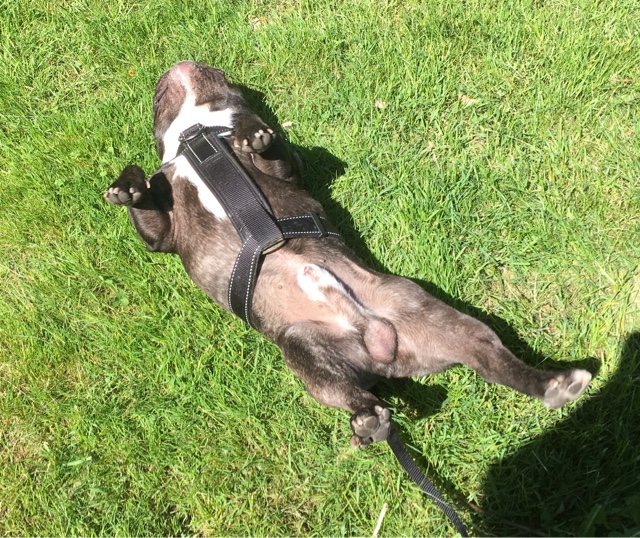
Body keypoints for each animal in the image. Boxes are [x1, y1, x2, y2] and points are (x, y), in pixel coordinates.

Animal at [104, 61, 591, 448]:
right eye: (156, 101)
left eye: (224, 78)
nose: (181, 64)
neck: (199, 135)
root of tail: (377, 344)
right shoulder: (166, 234)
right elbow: (146, 211)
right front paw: (126, 185)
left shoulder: (285, 170)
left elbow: (273, 149)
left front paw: (252, 135)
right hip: (304, 351)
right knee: (357, 394)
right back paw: (372, 419)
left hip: (437, 319)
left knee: (493, 361)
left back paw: (555, 383)